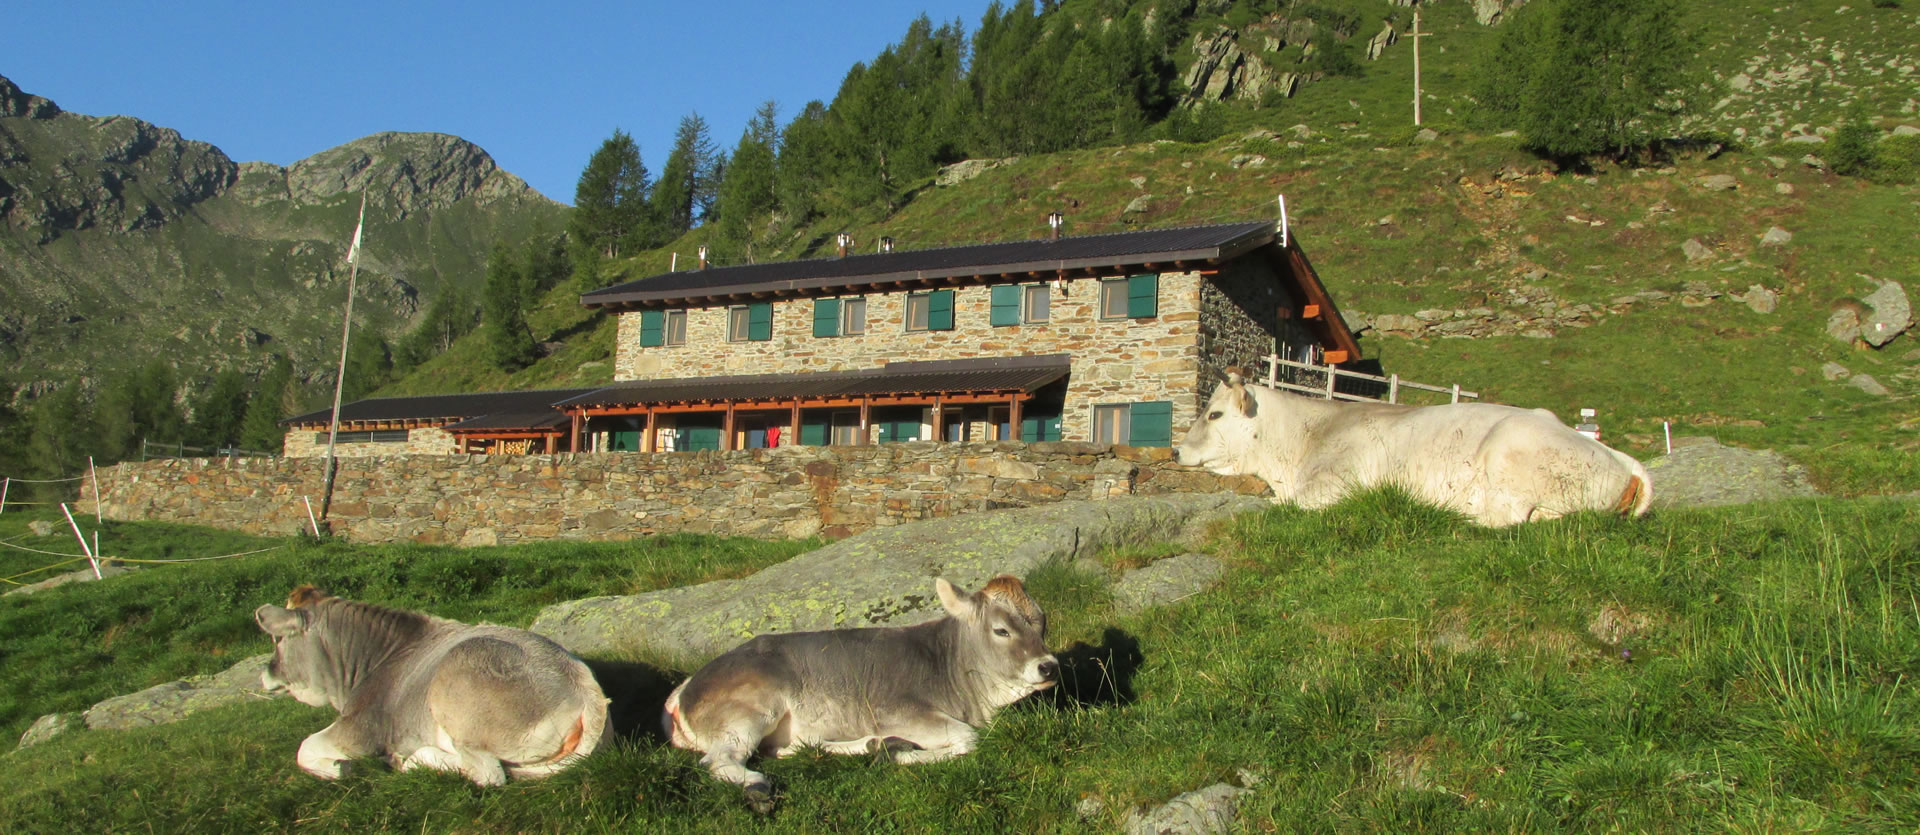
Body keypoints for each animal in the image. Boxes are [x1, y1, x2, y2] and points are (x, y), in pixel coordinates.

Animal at [257, 583, 606, 787]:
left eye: (277, 640)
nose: (265, 673)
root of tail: (583, 683)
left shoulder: (361, 728)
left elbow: (305, 747)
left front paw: (343, 768)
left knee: (487, 774)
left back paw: (409, 760)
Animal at [664, 579, 1059, 813]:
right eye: (1001, 629)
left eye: (1042, 623)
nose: (1049, 666)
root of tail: (683, 689)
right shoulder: (895, 711)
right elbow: (970, 738)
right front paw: (901, 755)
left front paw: (890, 749)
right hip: (749, 713)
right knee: (718, 761)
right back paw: (757, 785)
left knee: (791, 748)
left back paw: (867, 745)